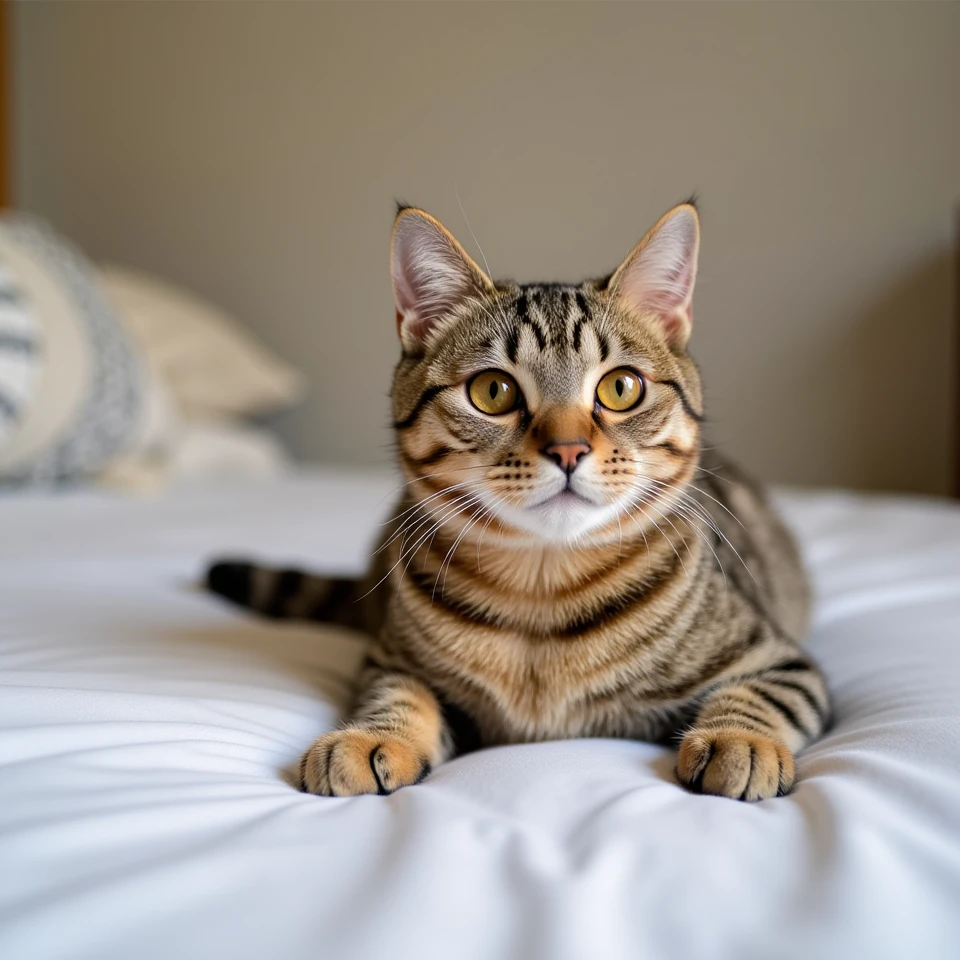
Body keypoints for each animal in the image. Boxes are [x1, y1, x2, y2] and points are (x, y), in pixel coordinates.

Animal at [206, 202, 828, 804]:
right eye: (492, 391)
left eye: (621, 387)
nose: (568, 449)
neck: (542, 598)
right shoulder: (390, 661)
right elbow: (398, 695)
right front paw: (372, 737)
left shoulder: (780, 661)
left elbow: (760, 698)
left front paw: (739, 740)